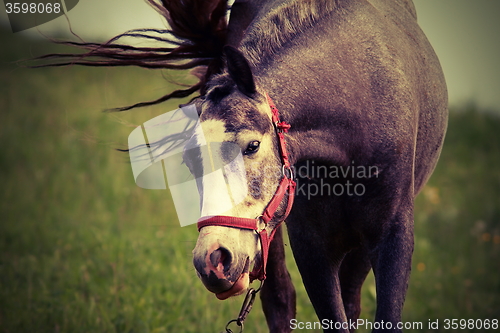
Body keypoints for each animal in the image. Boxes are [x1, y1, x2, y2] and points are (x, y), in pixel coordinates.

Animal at [36, 0, 450, 330]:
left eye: (252, 145)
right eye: (190, 162)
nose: (212, 260)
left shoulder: (391, 237)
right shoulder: (312, 248)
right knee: (279, 297)